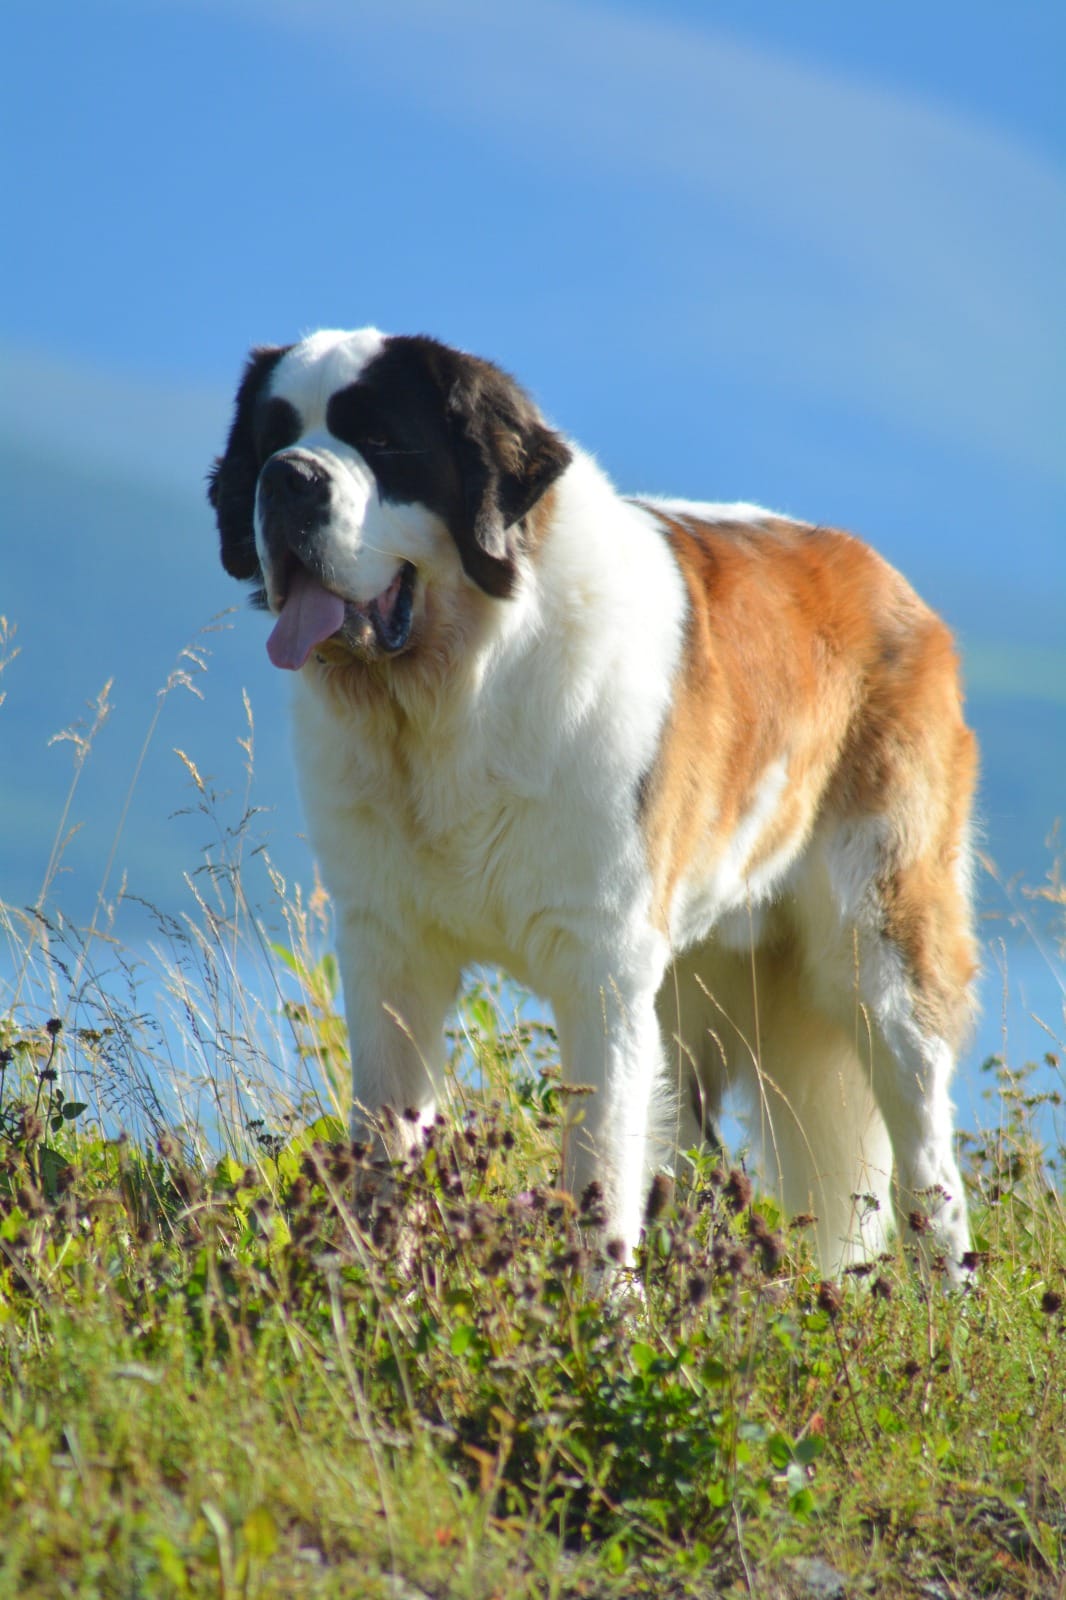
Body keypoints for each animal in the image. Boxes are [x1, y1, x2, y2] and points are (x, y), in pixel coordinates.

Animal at [209, 328, 977, 1277]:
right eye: (271, 440)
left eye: (382, 441)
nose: (289, 479)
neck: (458, 690)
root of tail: (889, 583)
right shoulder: (390, 949)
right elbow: (387, 1138)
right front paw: (370, 1285)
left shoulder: (598, 963)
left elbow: (598, 1164)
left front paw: (604, 1308)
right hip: (692, 987)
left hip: (880, 950)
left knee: (926, 1153)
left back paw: (950, 1291)